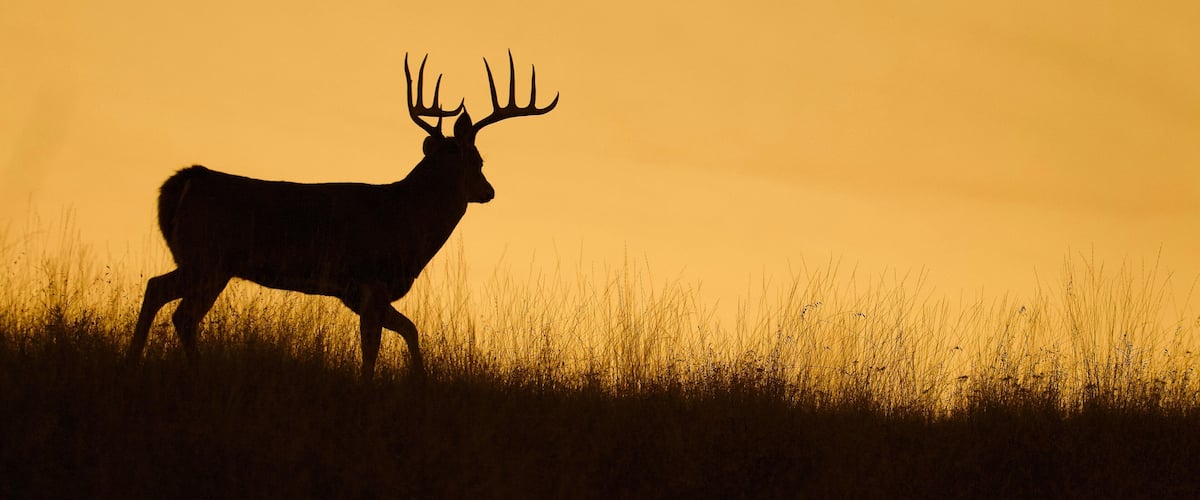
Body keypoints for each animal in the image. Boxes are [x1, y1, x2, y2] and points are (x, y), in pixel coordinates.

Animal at [126, 52, 558, 379]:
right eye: (479, 160)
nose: (489, 192)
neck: (407, 219)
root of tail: (185, 180)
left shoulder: (357, 293)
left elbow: (410, 330)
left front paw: (420, 382)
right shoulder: (371, 280)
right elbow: (373, 346)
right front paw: (370, 388)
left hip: (202, 261)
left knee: (156, 289)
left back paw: (133, 360)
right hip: (210, 259)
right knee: (182, 314)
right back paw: (192, 370)